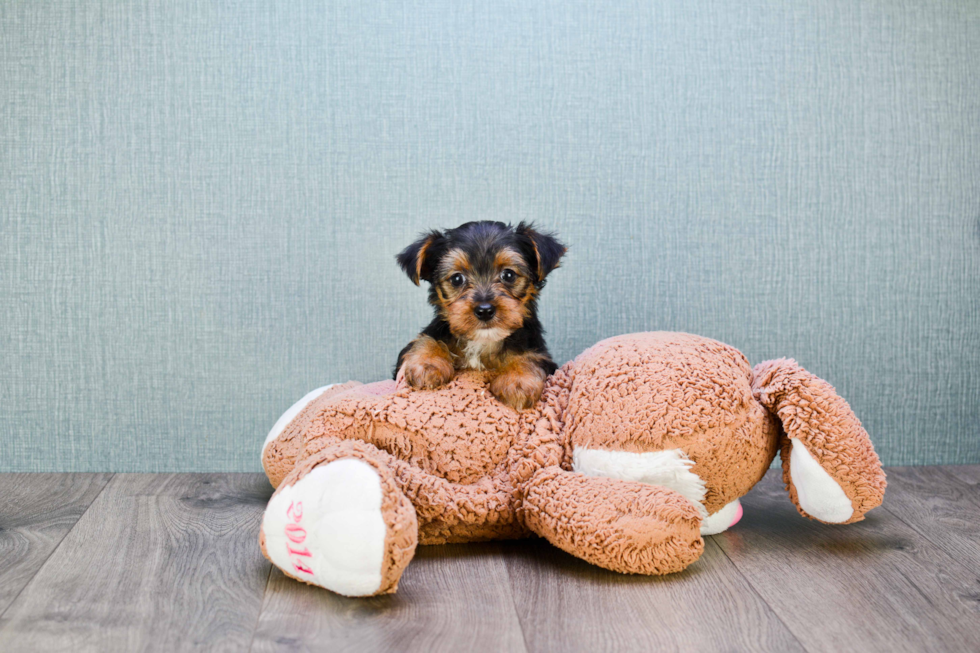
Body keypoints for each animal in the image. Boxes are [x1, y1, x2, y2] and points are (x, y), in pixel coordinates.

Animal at [392, 222, 564, 410]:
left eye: (508, 275)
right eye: (457, 279)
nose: (485, 310)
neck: (482, 341)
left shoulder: (540, 353)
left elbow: (531, 357)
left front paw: (518, 380)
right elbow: (425, 339)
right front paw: (428, 364)